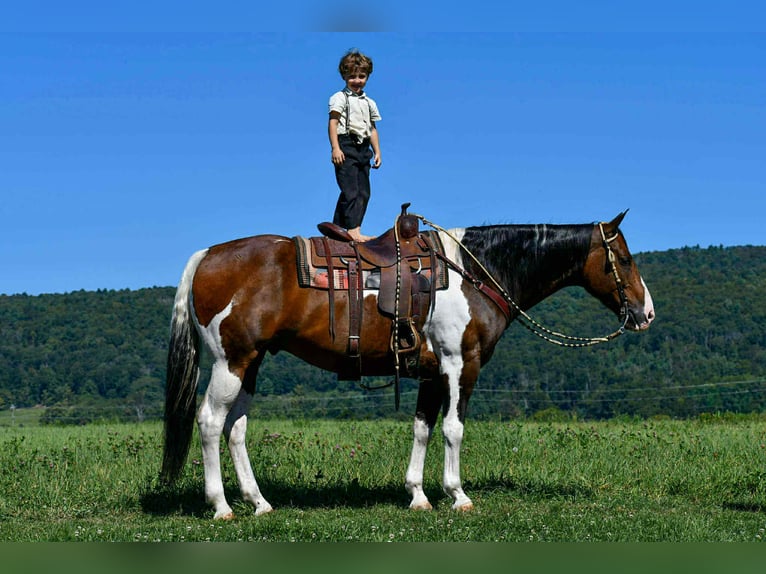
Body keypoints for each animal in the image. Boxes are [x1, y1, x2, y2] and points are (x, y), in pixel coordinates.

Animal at [161, 210, 654, 519]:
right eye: (623, 259)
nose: (646, 313)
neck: (475, 272)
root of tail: (206, 255)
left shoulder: (431, 373)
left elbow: (422, 428)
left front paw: (418, 495)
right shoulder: (460, 364)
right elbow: (454, 428)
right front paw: (458, 495)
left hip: (251, 362)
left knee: (235, 428)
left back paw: (258, 502)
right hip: (230, 360)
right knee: (210, 422)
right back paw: (221, 506)